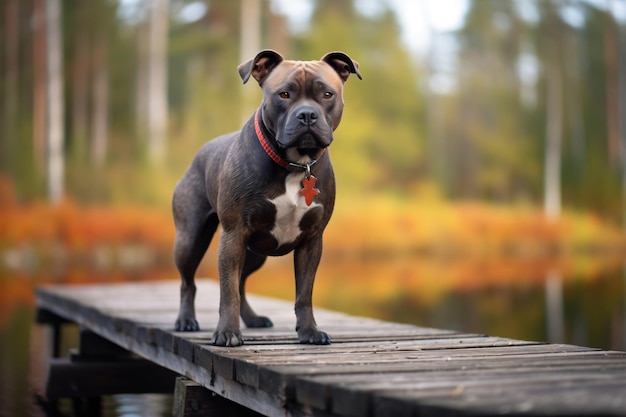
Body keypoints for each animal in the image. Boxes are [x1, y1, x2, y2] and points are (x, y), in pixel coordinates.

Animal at [172, 50, 360, 346]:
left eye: (327, 94)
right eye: (284, 94)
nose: (307, 115)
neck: (296, 165)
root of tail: (197, 156)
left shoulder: (311, 241)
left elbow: (304, 293)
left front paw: (309, 332)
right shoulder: (233, 234)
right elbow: (227, 291)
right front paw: (227, 332)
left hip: (255, 253)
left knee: (241, 282)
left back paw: (252, 319)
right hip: (191, 240)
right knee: (188, 282)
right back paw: (186, 320)